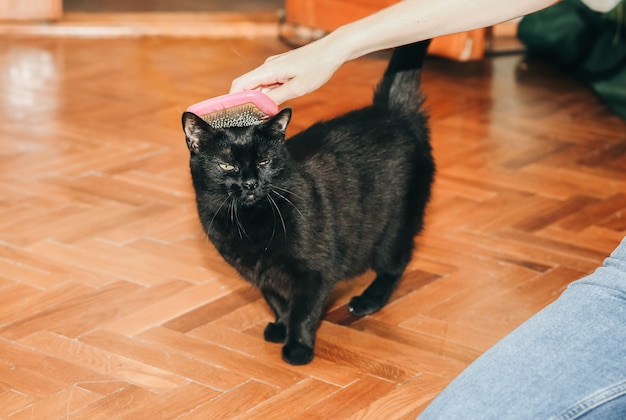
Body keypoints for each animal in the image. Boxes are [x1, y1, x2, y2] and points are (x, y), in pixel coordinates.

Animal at [183, 41, 432, 366]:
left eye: (264, 161)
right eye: (227, 166)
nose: (250, 183)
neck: (249, 222)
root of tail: (391, 111)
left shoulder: (316, 271)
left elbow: (303, 310)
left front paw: (298, 347)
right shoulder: (261, 272)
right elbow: (277, 300)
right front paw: (280, 326)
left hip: (393, 226)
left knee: (397, 262)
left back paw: (368, 300)